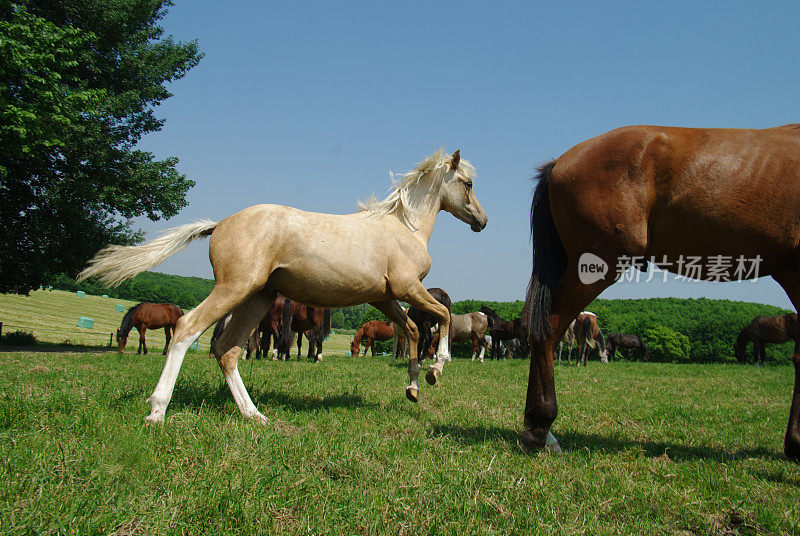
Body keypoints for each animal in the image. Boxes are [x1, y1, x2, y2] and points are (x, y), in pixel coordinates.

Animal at [79, 148, 488, 422]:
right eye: (467, 184)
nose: (482, 221)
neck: (405, 228)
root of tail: (219, 223)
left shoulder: (385, 300)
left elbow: (414, 331)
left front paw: (414, 387)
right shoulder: (406, 290)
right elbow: (443, 317)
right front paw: (436, 370)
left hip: (257, 299)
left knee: (227, 351)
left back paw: (254, 416)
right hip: (234, 289)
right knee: (188, 329)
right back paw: (158, 411)